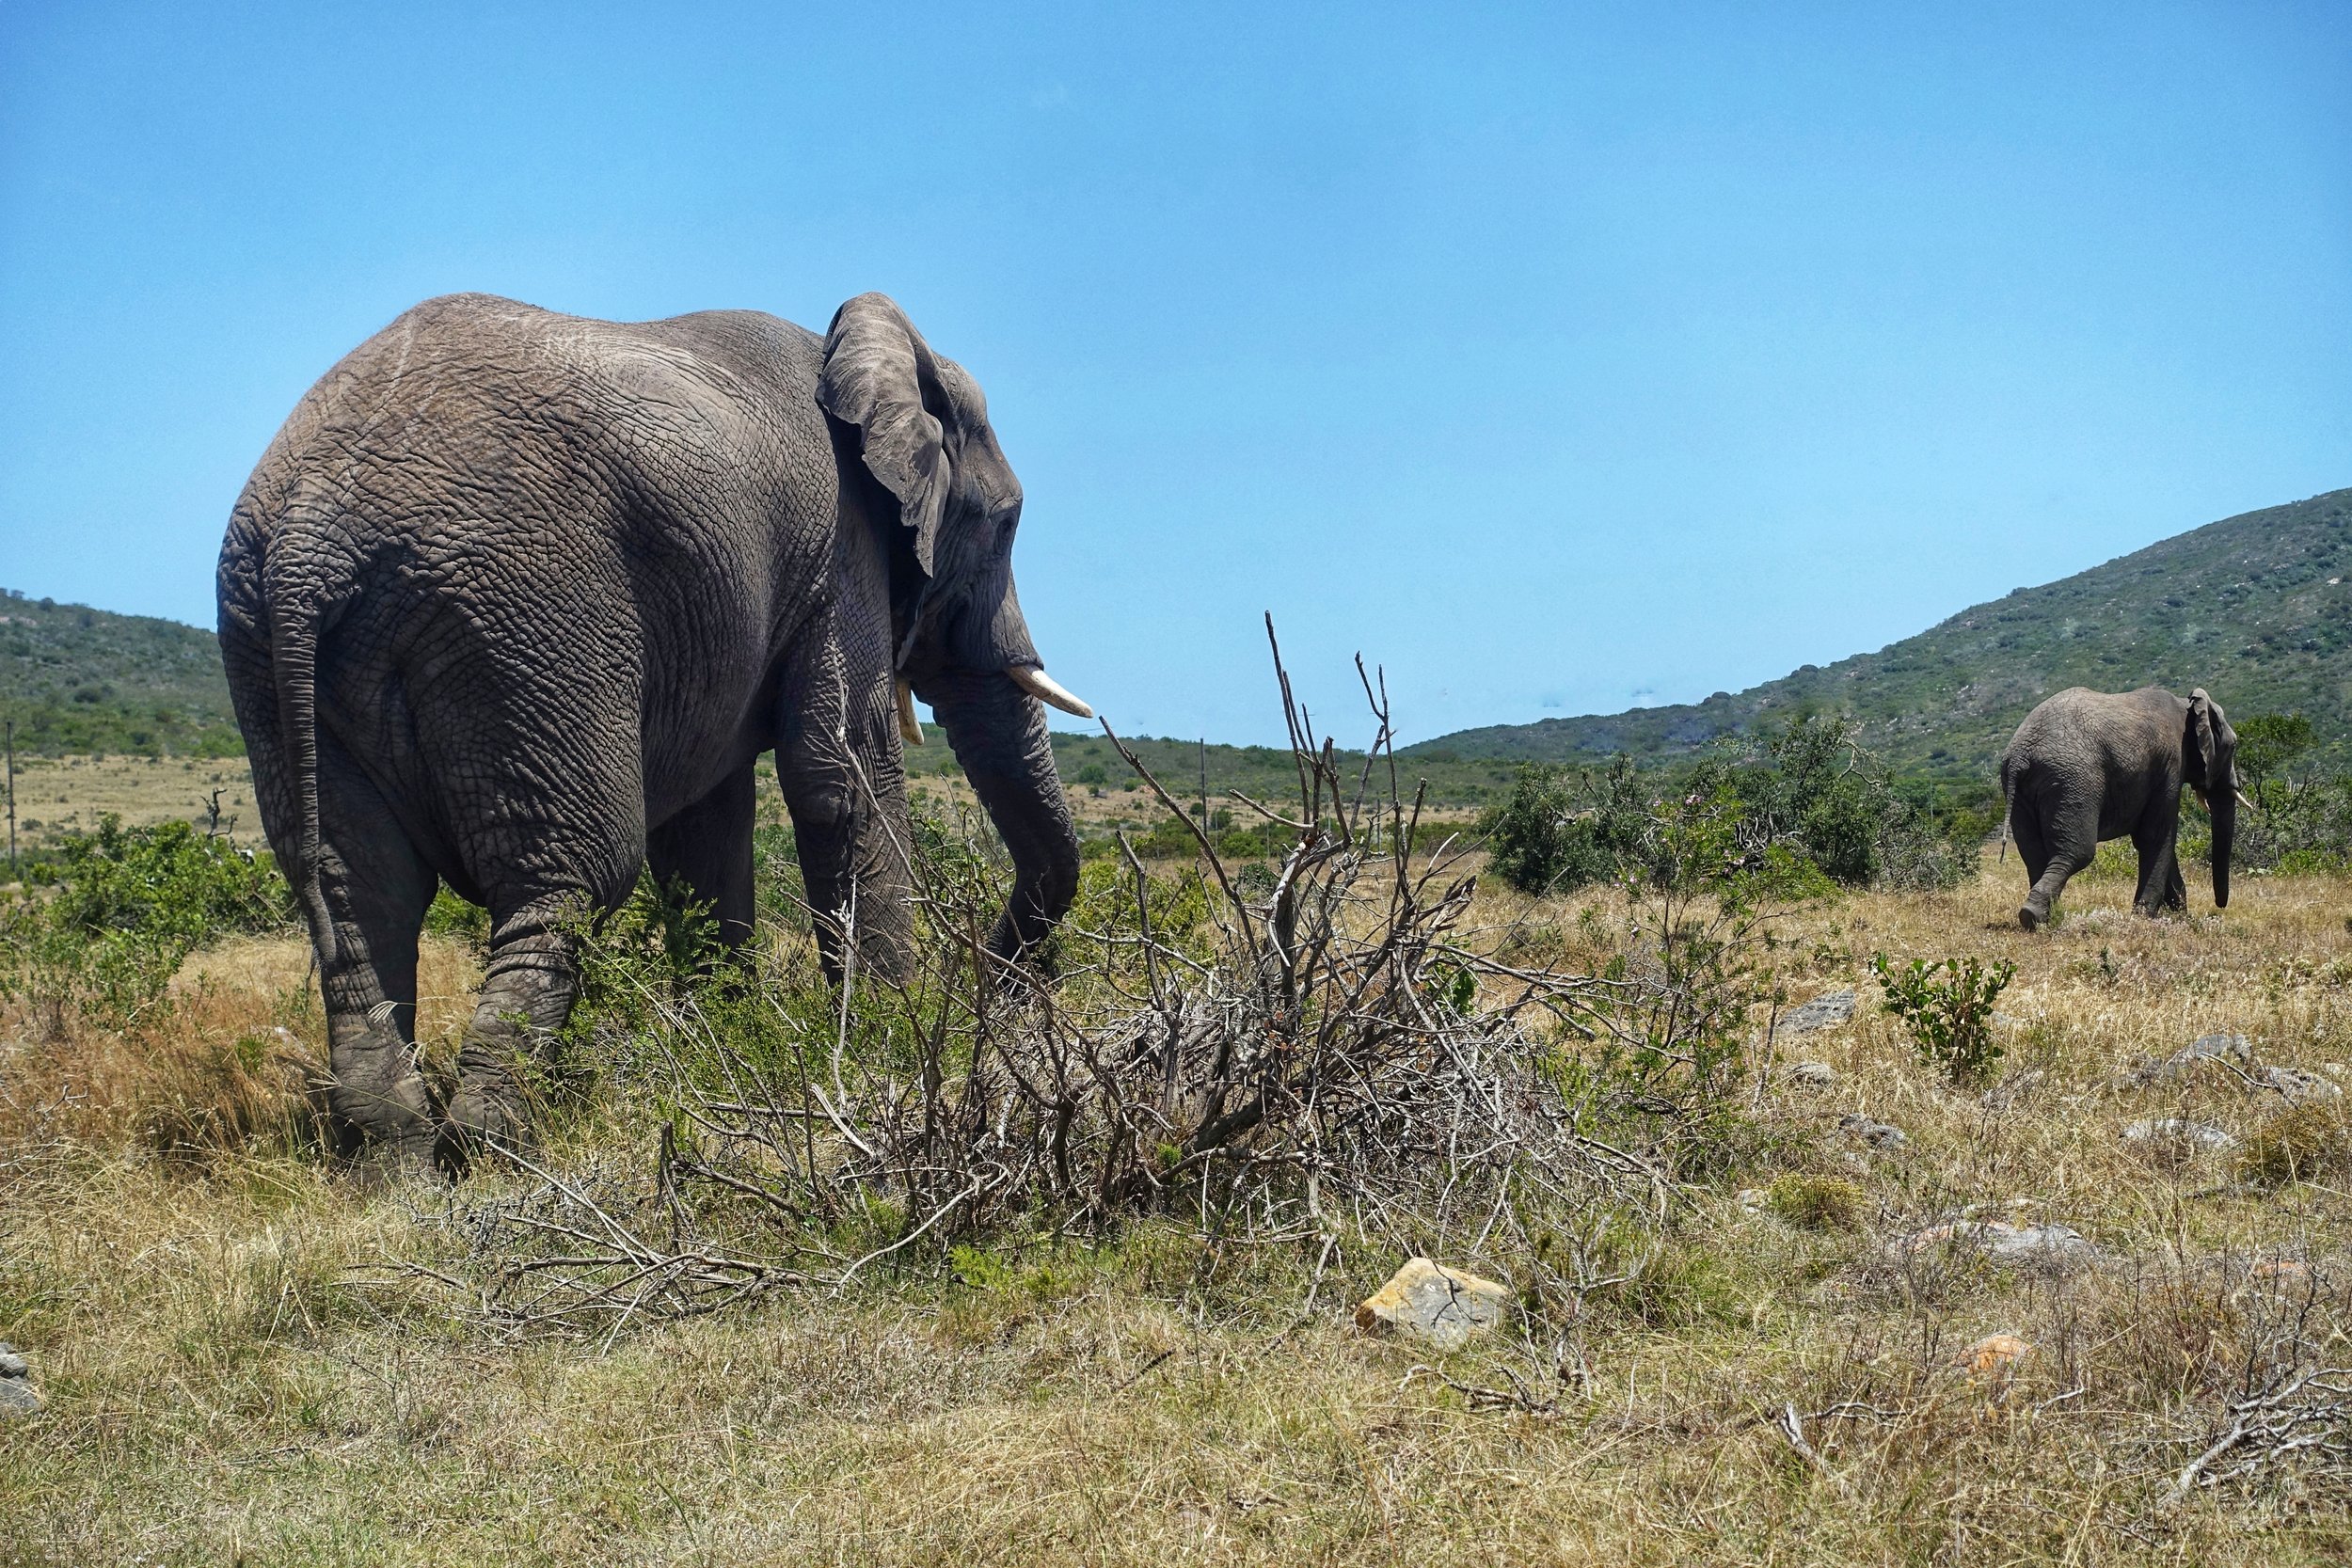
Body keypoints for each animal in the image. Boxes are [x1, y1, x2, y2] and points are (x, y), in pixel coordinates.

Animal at [217, 291, 1093, 1172]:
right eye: (1006, 523)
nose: (1004, 983)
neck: (883, 352)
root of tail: (308, 541)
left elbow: (704, 827)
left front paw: (726, 1047)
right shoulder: (841, 554)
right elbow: (839, 781)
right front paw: (890, 1044)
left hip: (268, 646)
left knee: (358, 896)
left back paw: (396, 1166)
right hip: (528, 618)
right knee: (574, 877)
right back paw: (493, 1151)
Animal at [1998, 686, 2244, 930]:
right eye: (2233, 746)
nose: (2220, 905)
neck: (2187, 705)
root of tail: (2020, 757)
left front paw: (2179, 916)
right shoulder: (2172, 764)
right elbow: (2154, 836)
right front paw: (2144, 917)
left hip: (2022, 791)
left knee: (2034, 854)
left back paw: (2043, 917)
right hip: (2074, 781)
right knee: (2077, 853)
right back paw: (2034, 916)